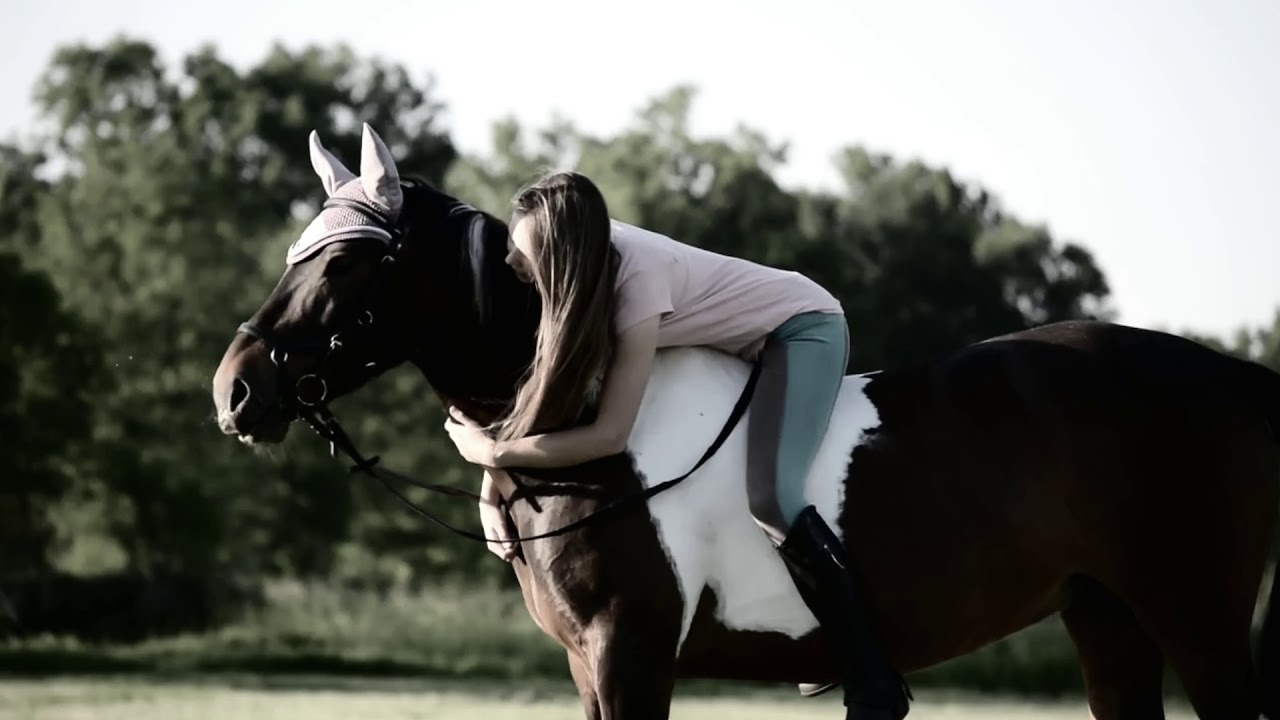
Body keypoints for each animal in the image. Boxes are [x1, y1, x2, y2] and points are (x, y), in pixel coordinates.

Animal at [212, 123, 1280, 720]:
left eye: (349, 263)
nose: (236, 392)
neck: (576, 413)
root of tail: (1237, 378)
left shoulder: (628, 650)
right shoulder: (588, 664)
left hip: (1198, 621)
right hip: (1106, 614)